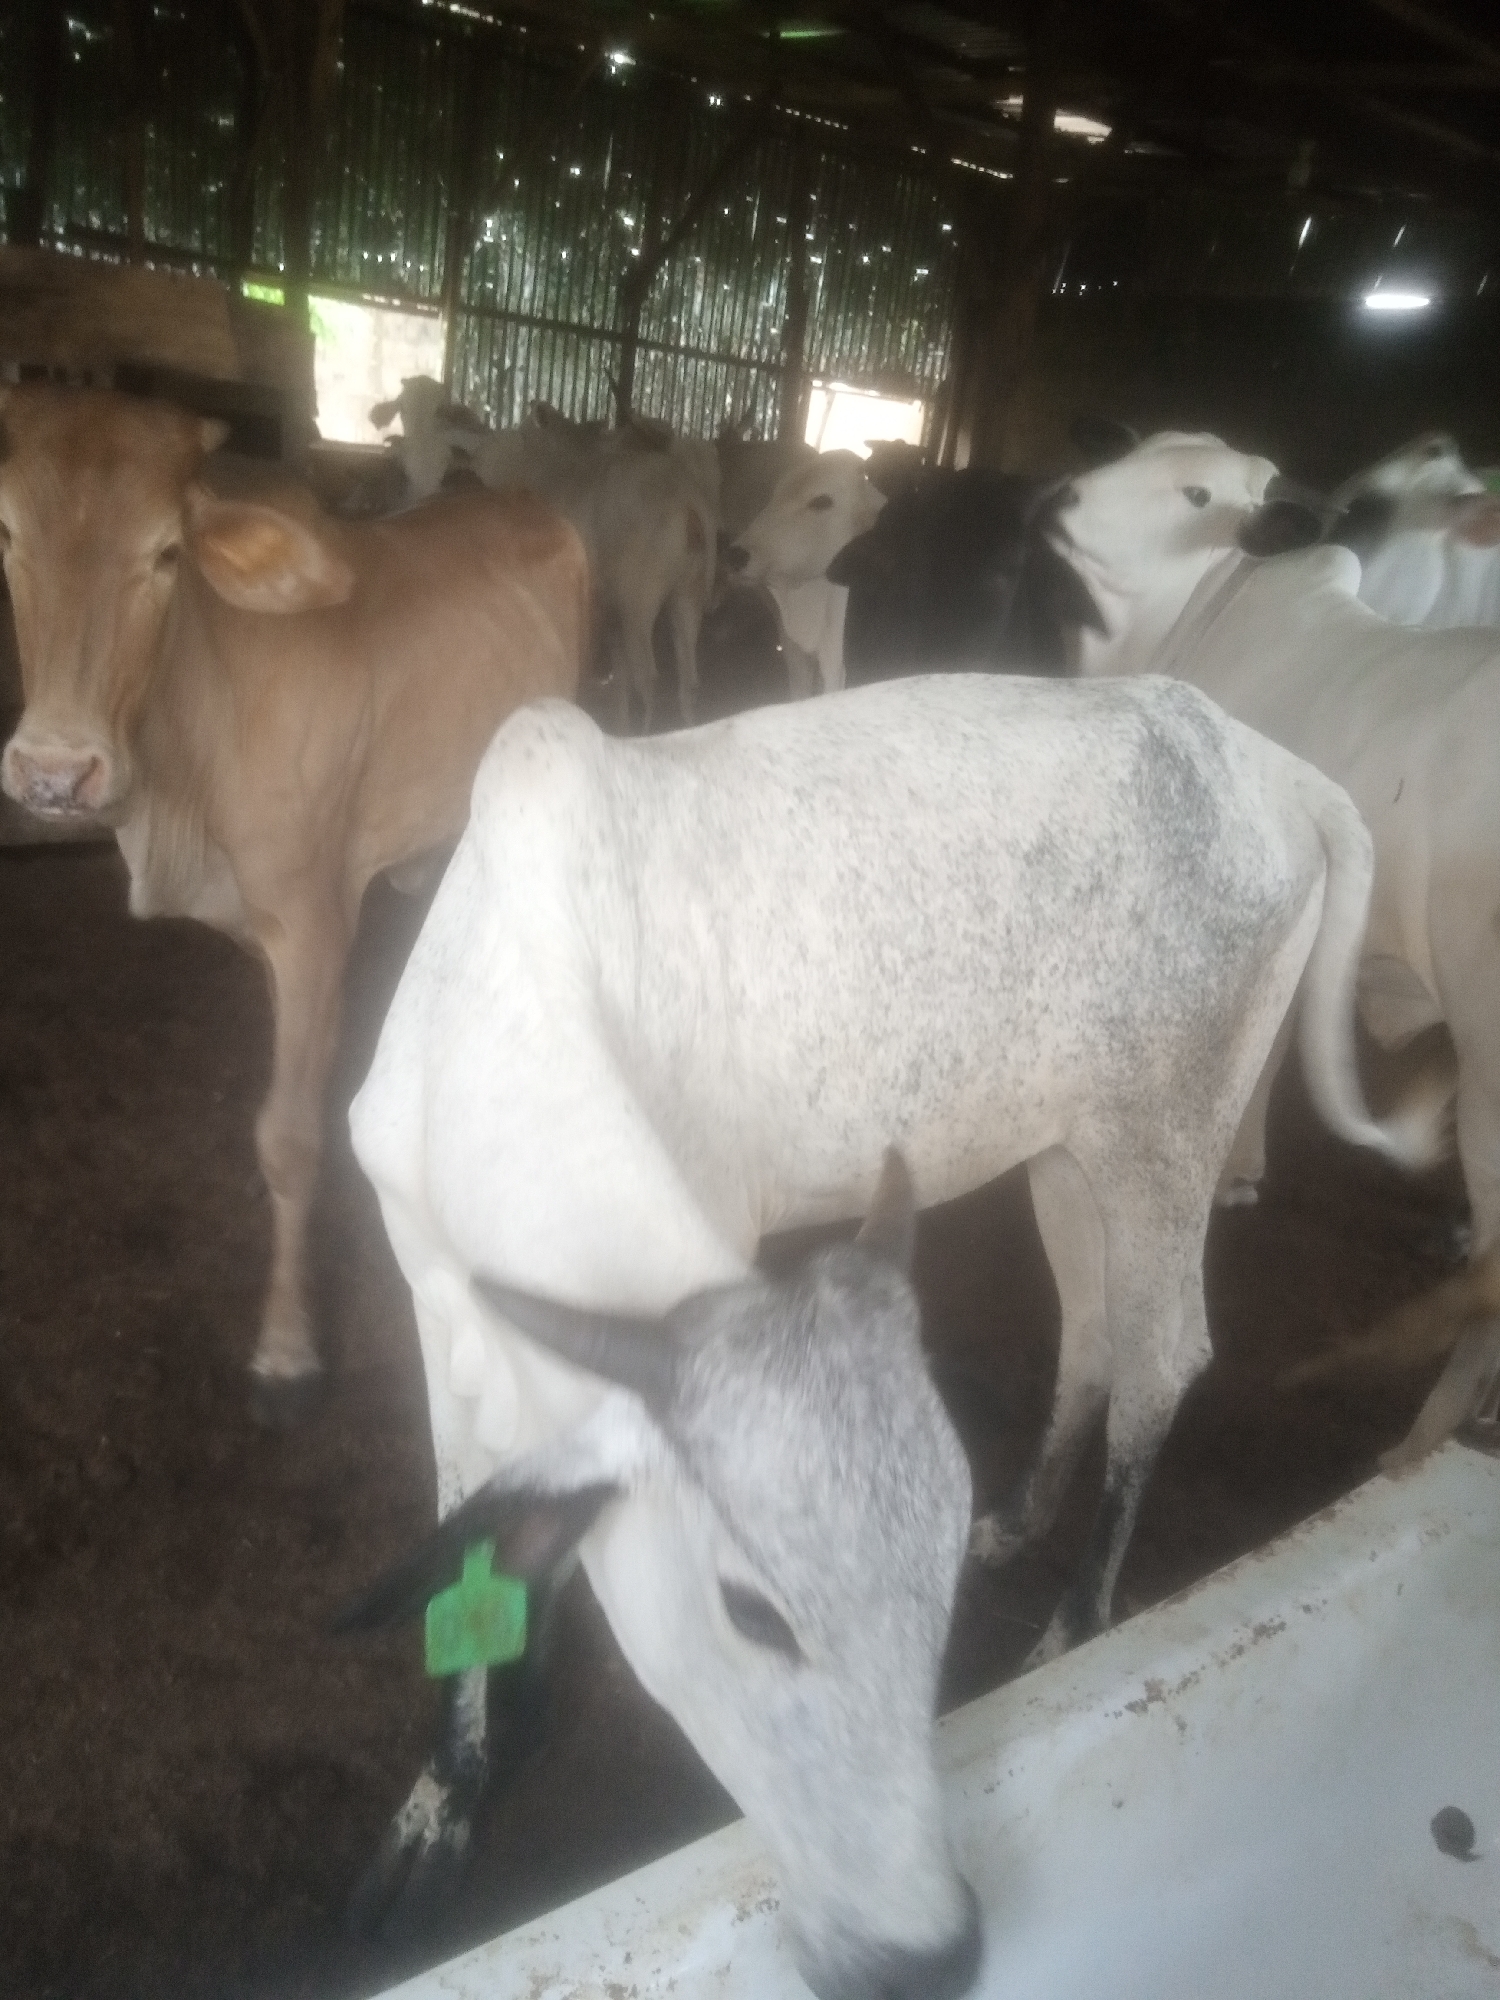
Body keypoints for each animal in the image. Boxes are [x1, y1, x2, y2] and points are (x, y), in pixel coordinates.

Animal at [0, 385, 587, 1423]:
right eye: (6, 534)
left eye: (165, 552)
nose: (54, 773)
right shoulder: (268, 936)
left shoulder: (314, 921)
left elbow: (289, 1134)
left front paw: (286, 1349)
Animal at [339, 671, 1433, 1969]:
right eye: (751, 1608)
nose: (932, 1944)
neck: (512, 1001)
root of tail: (1262, 758)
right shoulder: (426, 1286)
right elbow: (466, 1527)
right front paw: (441, 1800)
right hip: (1066, 1149)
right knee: (1095, 1329)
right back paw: (1019, 1513)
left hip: (1162, 1137)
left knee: (1165, 1356)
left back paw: (1074, 1623)